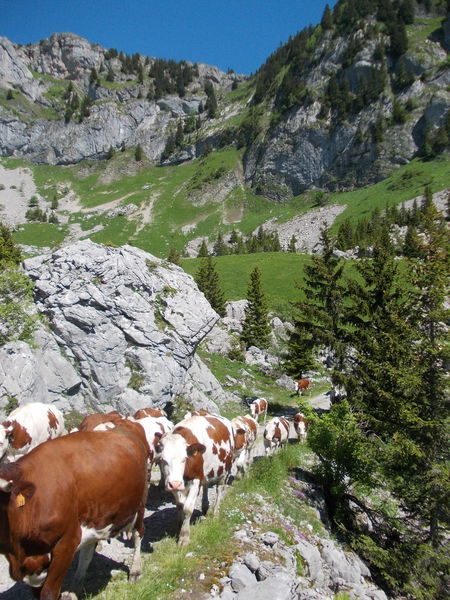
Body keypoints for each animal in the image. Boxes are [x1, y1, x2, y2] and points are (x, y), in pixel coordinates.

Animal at [0, 418, 149, 600]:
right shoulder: (33, 565)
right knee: (87, 552)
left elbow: (49, 593)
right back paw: (74, 588)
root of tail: (121, 421)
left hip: (140, 501)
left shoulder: (67, 542)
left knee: (138, 533)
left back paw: (135, 571)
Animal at [157, 414, 236, 548]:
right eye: (163, 460)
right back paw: (205, 507)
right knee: (206, 485)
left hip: (225, 470)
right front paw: (179, 525)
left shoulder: (195, 479)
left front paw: (184, 537)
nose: (175, 484)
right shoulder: (174, 482)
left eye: (184, 459)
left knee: (219, 490)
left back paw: (215, 513)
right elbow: (180, 505)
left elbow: (187, 508)